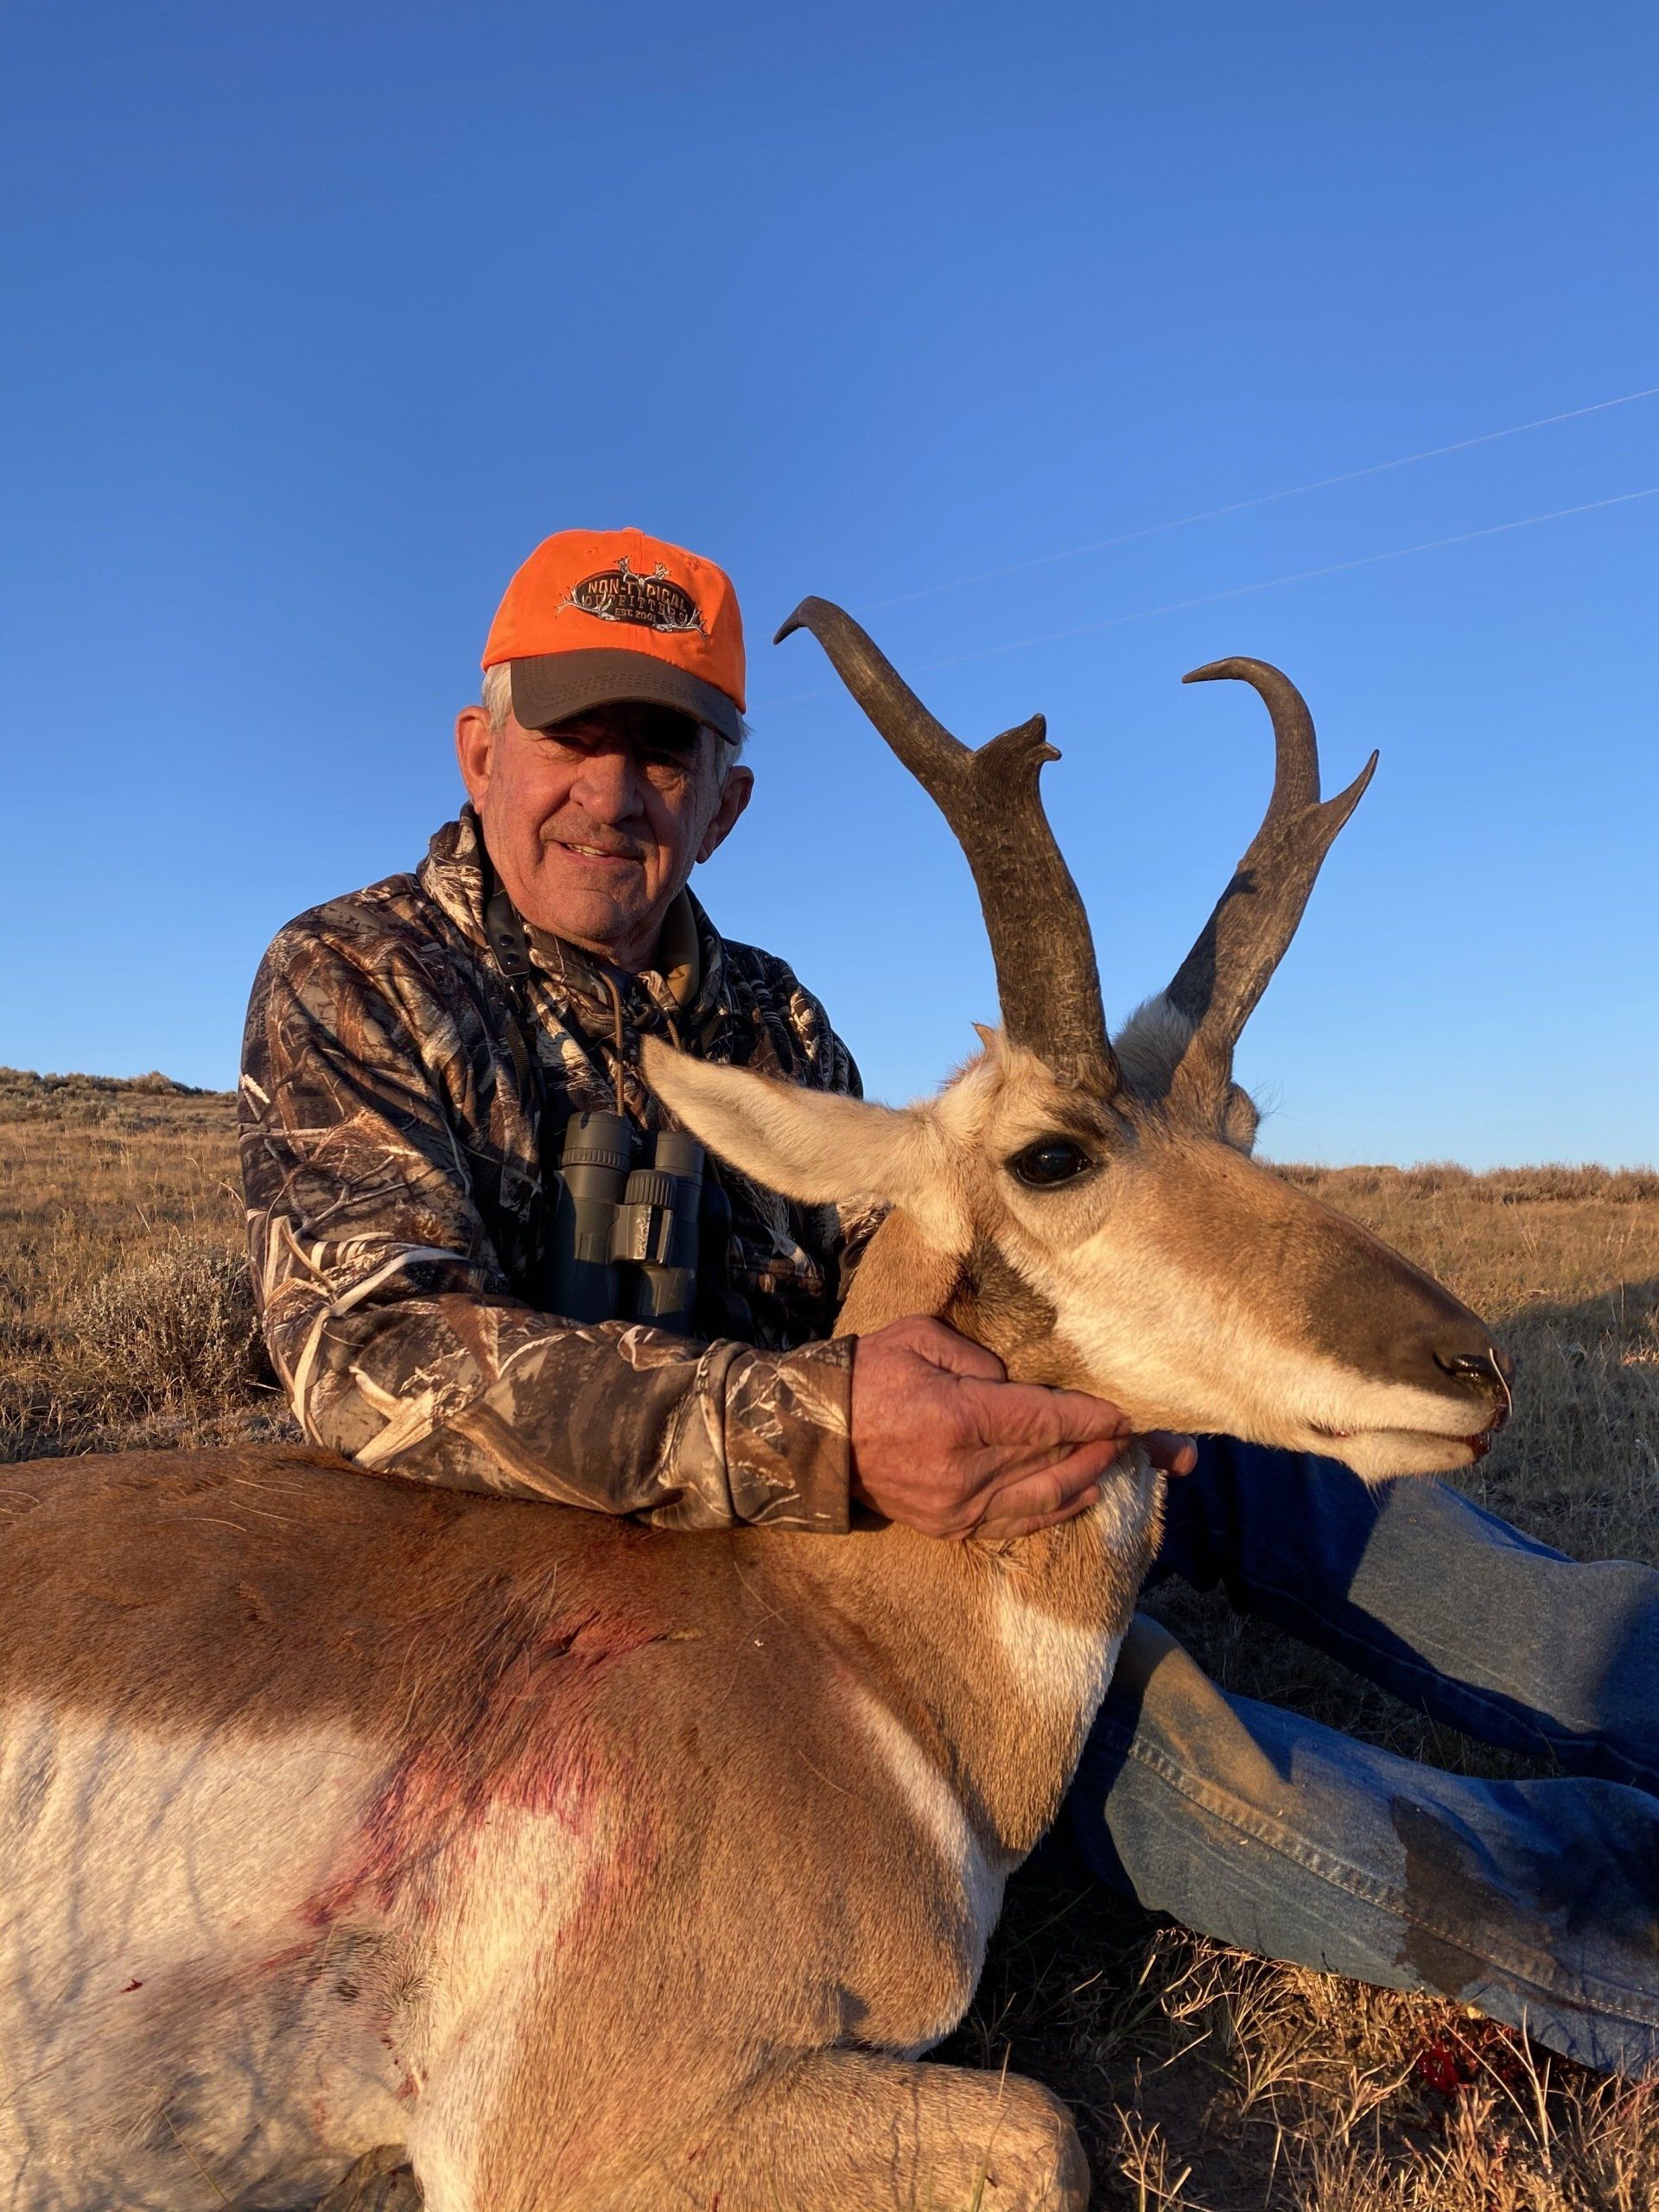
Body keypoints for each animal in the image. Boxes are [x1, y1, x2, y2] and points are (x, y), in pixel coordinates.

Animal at [0, 602, 1510, 2212]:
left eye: (1245, 1127)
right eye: (1052, 1155)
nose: (1473, 1369)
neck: (837, 1648)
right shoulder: (561, 2144)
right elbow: (1048, 2131)